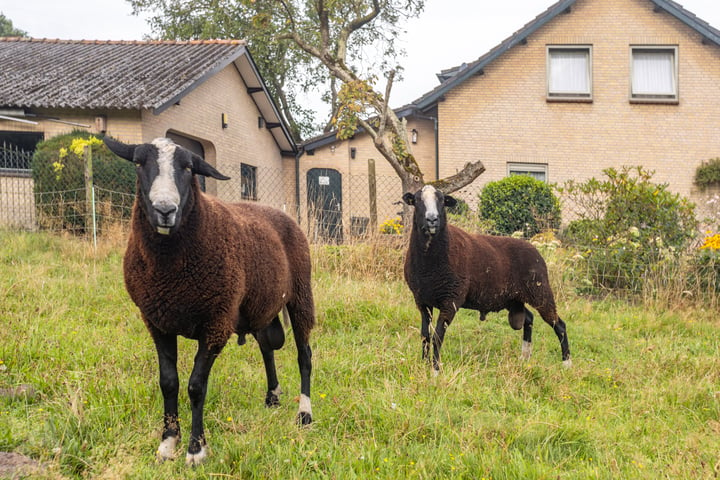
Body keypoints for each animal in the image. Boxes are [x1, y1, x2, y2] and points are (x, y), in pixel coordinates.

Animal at [105, 138, 316, 464]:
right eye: (139, 163)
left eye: (188, 168)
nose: (165, 210)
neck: (169, 270)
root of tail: (280, 212)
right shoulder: (156, 322)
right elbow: (168, 383)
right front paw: (168, 443)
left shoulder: (216, 323)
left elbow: (196, 386)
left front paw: (196, 449)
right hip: (258, 307)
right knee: (267, 349)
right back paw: (272, 396)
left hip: (301, 293)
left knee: (304, 355)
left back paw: (304, 413)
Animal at [402, 184, 572, 372]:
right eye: (417, 200)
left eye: (442, 201)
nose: (432, 219)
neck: (429, 264)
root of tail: (534, 249)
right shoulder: (422, 301)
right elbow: (425, 335)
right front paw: (424, 364)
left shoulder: (451, 300)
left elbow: (437, 336)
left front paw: (435, 370)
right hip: (513, 297)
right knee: (528, 318)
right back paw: (524, 357)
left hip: (539, 291)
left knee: (559, 325)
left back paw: (567, 363)